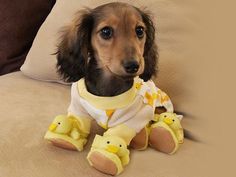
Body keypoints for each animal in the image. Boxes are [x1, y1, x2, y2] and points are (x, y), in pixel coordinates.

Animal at [44, 2, 184, 176]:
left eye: (140, 30)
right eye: (106, 31)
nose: (133, 65)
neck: (109, 85)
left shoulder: (133, 117)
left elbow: (118, 134)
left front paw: (105, 159)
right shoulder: (78, 106)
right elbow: (78, 121)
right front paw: (65, 139)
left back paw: (162, 135)